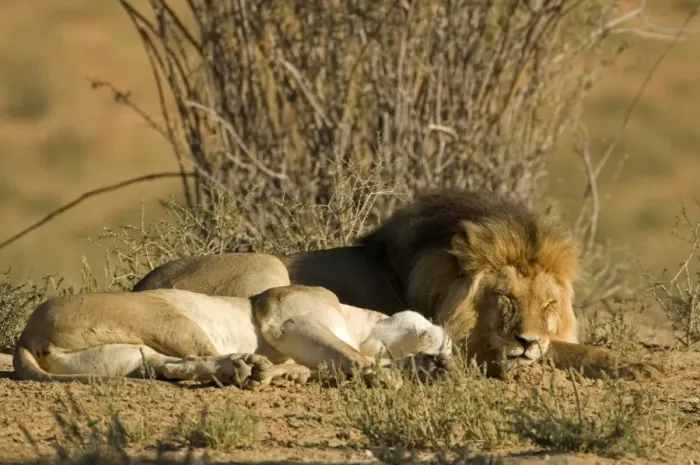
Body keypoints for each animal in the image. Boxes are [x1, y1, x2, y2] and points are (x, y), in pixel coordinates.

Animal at [133, 189, 662, 380]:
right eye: (505, 299)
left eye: (549, 305)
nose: (527, 340)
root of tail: (143, 282)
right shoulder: (464, 340)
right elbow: (558, 352)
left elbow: (577, 348)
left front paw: (632, 365)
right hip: (267, 266)